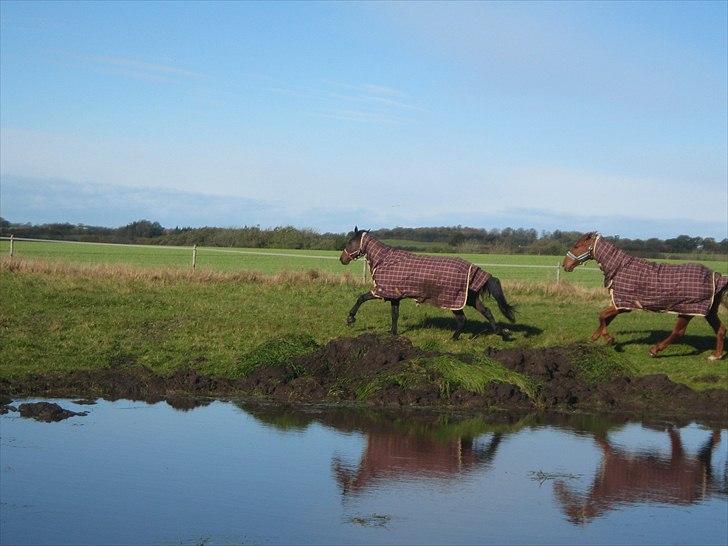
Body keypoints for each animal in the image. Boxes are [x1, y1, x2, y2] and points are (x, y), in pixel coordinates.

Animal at [564, 232, 728, 360]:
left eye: (577, 246)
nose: (565, 265)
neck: (620, 268)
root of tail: (717, 276)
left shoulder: (624, 305)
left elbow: (602, 316)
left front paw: (609, 339)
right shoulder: (619, 303)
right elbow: (606, 319)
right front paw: (593, 338)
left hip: (686, 309)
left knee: (678, 332)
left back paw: (655, 350)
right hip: (708, 311)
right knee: (720, 330)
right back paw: (716, 356)